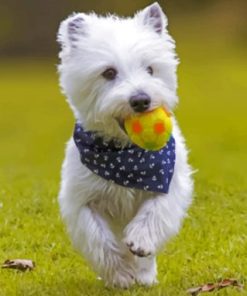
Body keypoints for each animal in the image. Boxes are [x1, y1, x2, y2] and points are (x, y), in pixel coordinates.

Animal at [57, 2, 193, 288]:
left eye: (150, 69)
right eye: (109, 72)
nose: (141, 100)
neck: (126, 155)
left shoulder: (168, 180)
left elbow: (155, 210)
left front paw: (140, 241)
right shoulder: (81, 199)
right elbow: (99, 238)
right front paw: (120, 275)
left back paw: (145, 274)